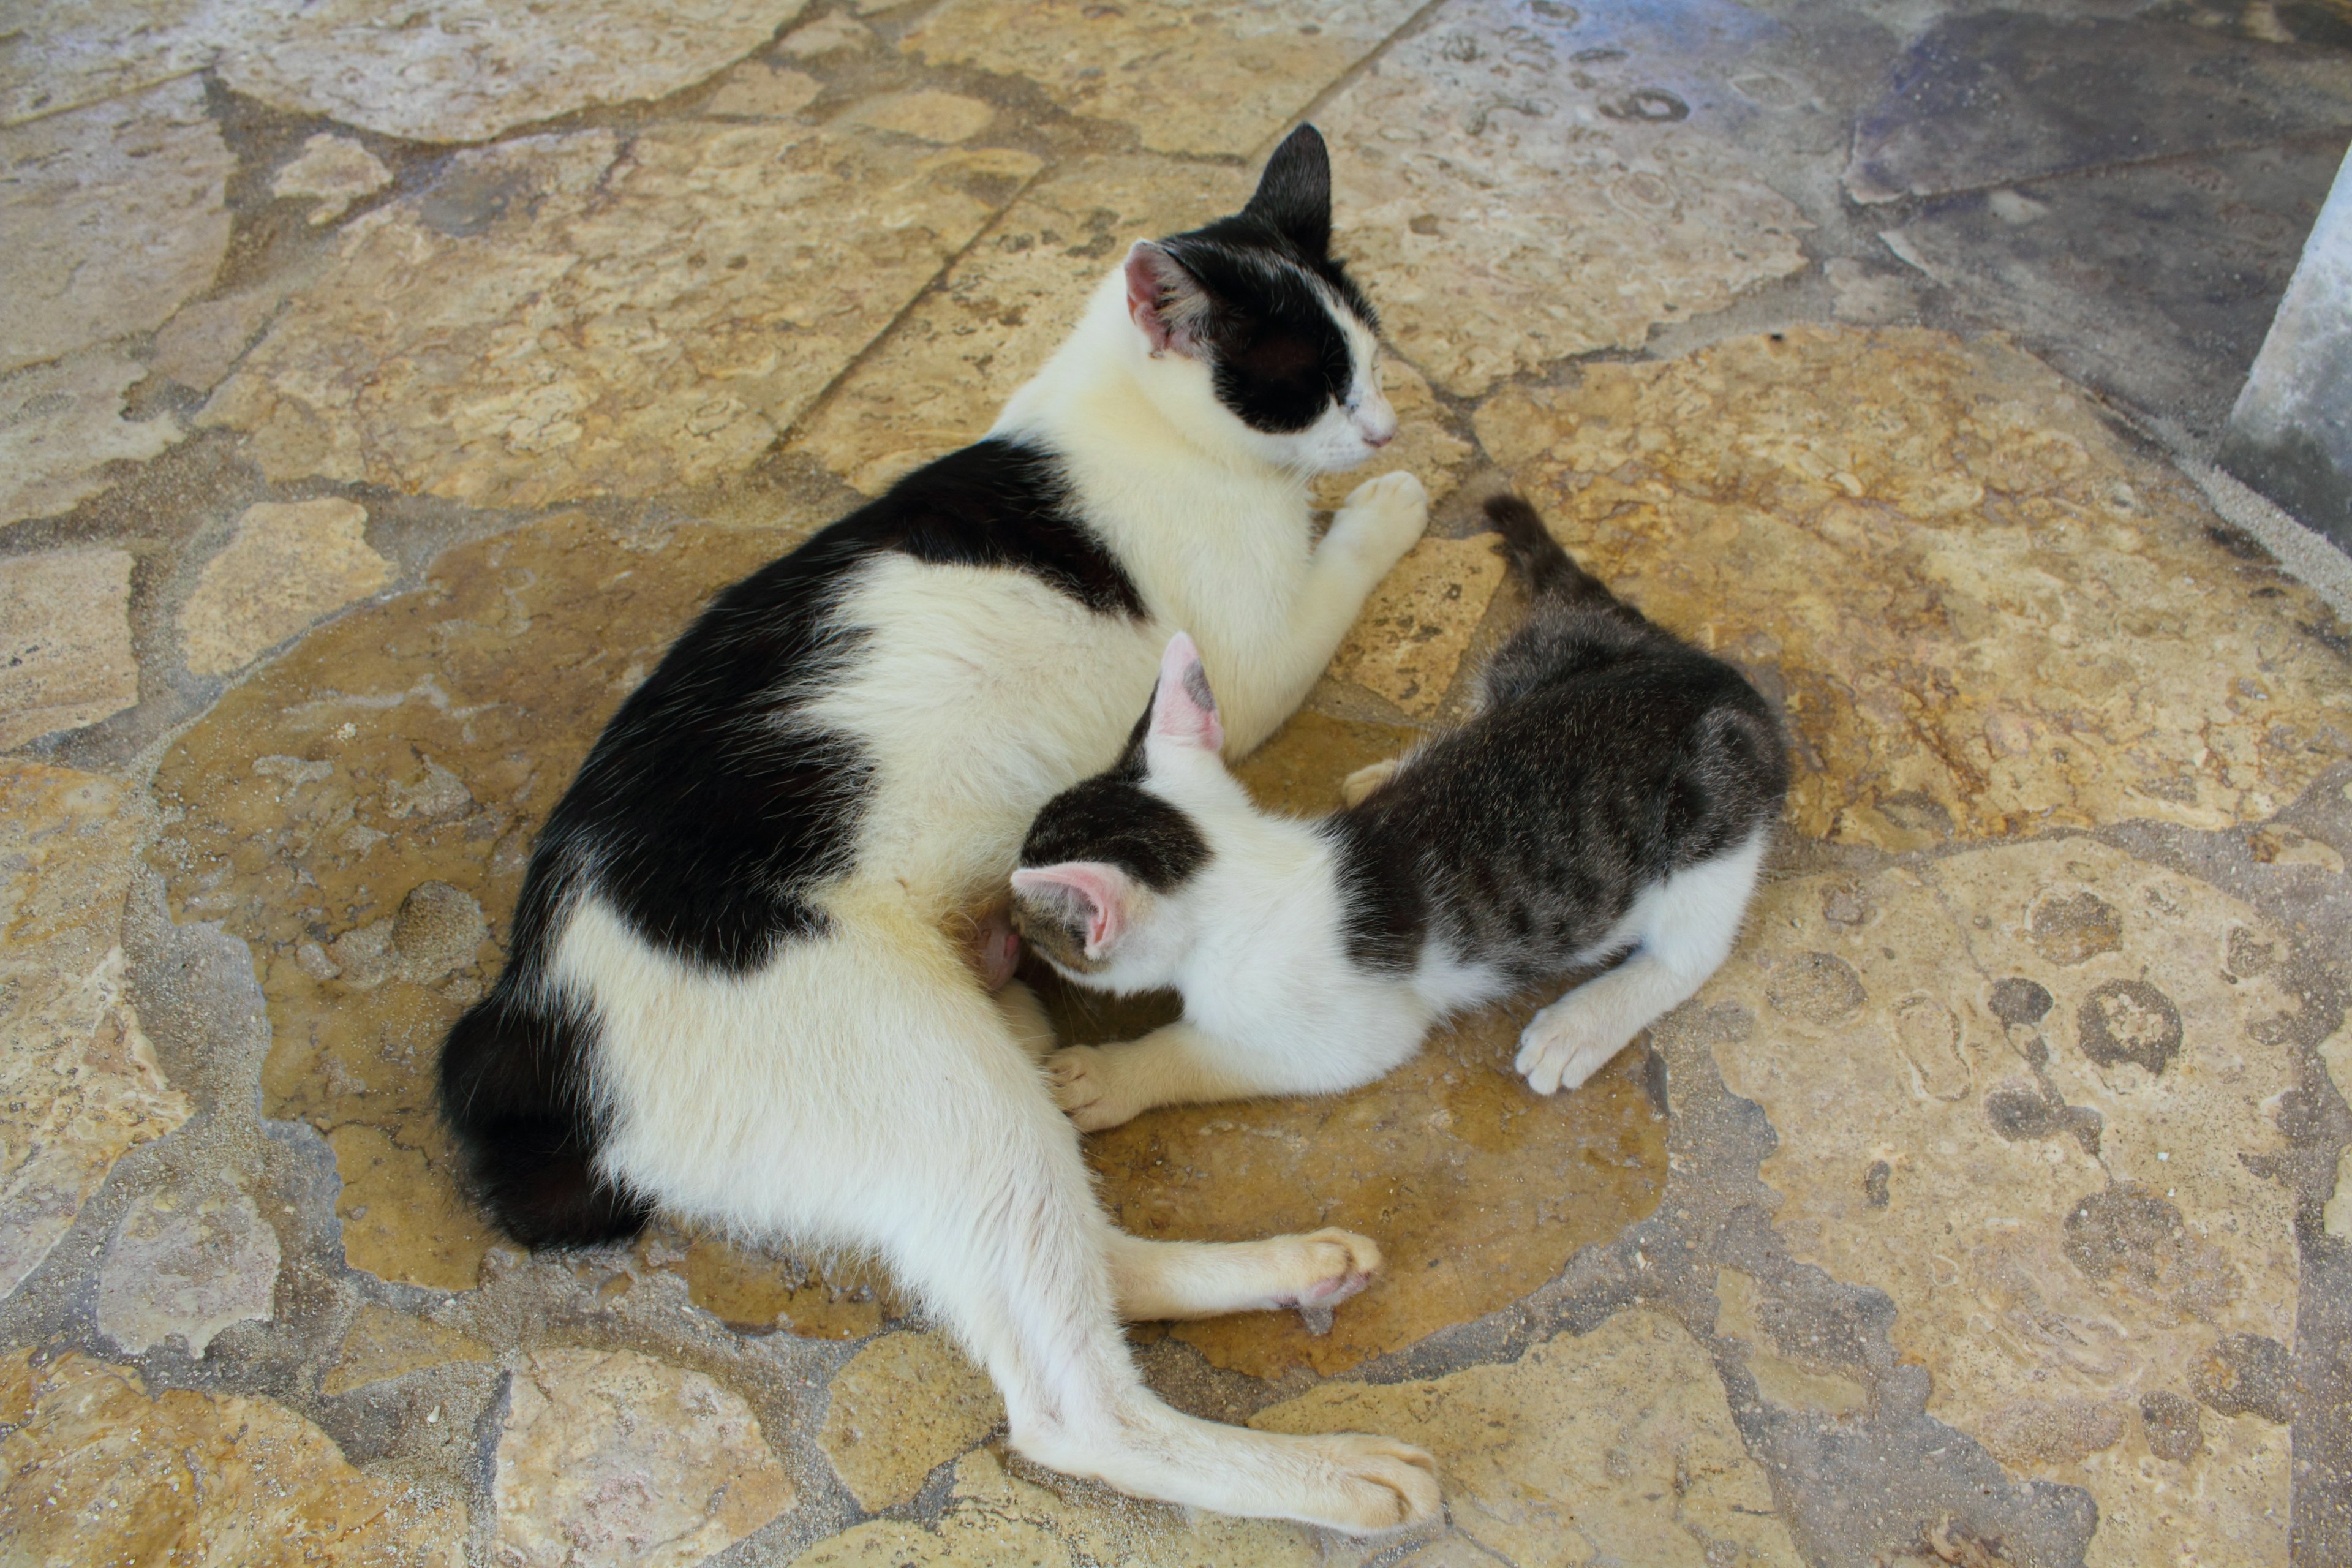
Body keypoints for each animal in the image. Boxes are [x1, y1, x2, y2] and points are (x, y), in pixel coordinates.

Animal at [432, 131, 1439, 1532]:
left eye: (1375, 355)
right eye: (1315, 385)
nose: (1386, 424)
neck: (1108, 417)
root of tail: (528, 1009)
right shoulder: (1256, 658)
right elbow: (1339, 561)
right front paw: (1393, 501)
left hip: (986, 1076)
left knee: (1087, 1261)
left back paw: (1296, 1265)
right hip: (952, 1100)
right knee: (1079, 1408)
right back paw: (1336, 1473)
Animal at [1006, 496, 1778, 1123]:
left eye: (1033, 928)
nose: (1004, 922)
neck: (1248, 862)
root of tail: (1714, 673)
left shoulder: (1350, 1031)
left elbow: (1203, 1053)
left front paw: (1107, 1076)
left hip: (1715, 815)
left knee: (1692, 951)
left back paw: (1580, 1025)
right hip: (1534, 653)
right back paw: (1395, 769)